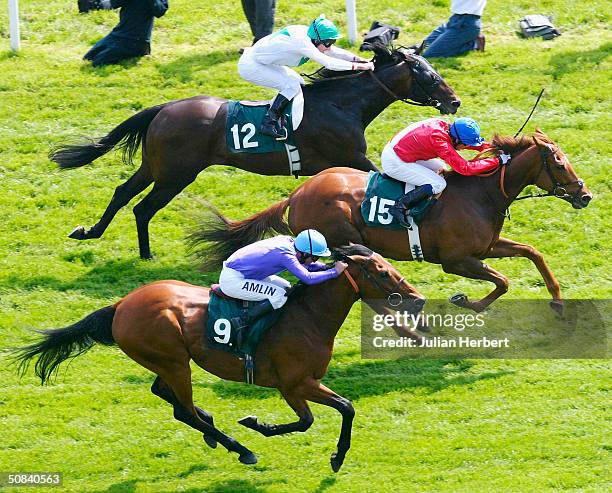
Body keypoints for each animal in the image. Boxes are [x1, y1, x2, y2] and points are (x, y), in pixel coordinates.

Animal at [13, 244, 426, 470]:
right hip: (173, 361)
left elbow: (338, 411)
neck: (307, 317)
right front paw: (260, 426)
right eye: (382, 272)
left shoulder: (304, 384)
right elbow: (321, 416)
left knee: (165, 395)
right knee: (182, 410)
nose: (418, 298)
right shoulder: (294, 384)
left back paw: (215, 430)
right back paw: (240, 448)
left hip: (169, 360)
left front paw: (333, 455)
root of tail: (121, 306)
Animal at [47, 47, 460, 260]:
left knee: (123, 194)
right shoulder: (351, 158)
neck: (341, 104)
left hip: (156, 167)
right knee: (142, 206)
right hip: (176, 174)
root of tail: (165, 108)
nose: (454, 101)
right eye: (429, 75)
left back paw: (92, 233)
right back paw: (145, 254)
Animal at [192, 130, 592, 312]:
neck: (482, 194)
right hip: (339, 240)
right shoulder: (456, 261)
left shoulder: (487, 247)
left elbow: (532, 252)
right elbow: (504, 281)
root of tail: (298, 192)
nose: (585, 195)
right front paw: (467, 302)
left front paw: (557, 301)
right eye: (559, 164)